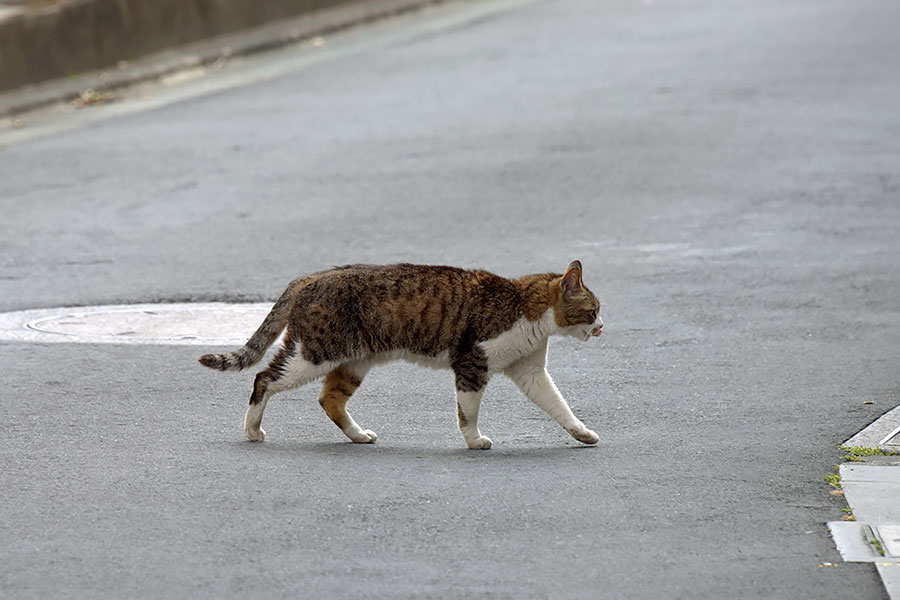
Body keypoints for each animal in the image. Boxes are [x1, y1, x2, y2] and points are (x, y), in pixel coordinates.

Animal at [198, 260, 604, 448]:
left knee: (329, 399)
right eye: (594, 310)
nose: (602, 327)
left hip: (353, 361)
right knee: (264, 378)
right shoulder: (471, 364)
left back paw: (359, 435)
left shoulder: (529, 371)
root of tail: (310, 277)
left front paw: (582, 433)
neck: (523, 307)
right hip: (315, 353)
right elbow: (468, 412)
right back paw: (253, 428)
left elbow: (558, 404)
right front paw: (474, 440)